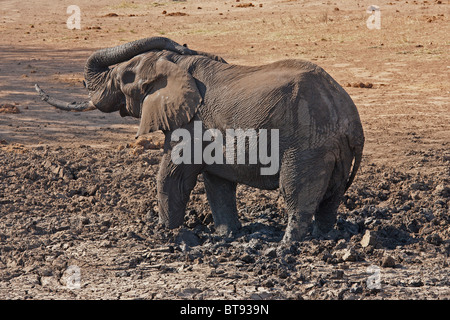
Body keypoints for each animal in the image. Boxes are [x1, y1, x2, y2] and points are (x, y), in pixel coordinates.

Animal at [35, 36, 366, 241]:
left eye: (123, 79)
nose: (183, 45)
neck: (175, 65)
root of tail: (350, 118)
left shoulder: (192, 124)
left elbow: (173, 176)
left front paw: (166, 233)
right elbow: (217, 182)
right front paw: (227, 235)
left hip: (309, 144)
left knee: (296, 192)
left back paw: (287, 246)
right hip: (335, 149)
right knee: (332, 196)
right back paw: (323, 237)